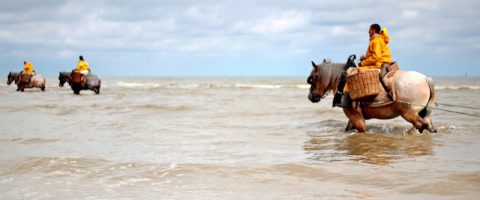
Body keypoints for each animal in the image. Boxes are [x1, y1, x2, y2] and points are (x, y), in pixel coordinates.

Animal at [308, 59, 438, 134]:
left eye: (312, 79)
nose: (310, 96)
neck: (343, 81)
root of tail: (425, 79)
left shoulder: (355, 116)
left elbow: (363, 130)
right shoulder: (354, 117)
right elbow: (348, 129)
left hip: (409, 113)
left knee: (422, 125)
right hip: (422, 113)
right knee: (428, 126)